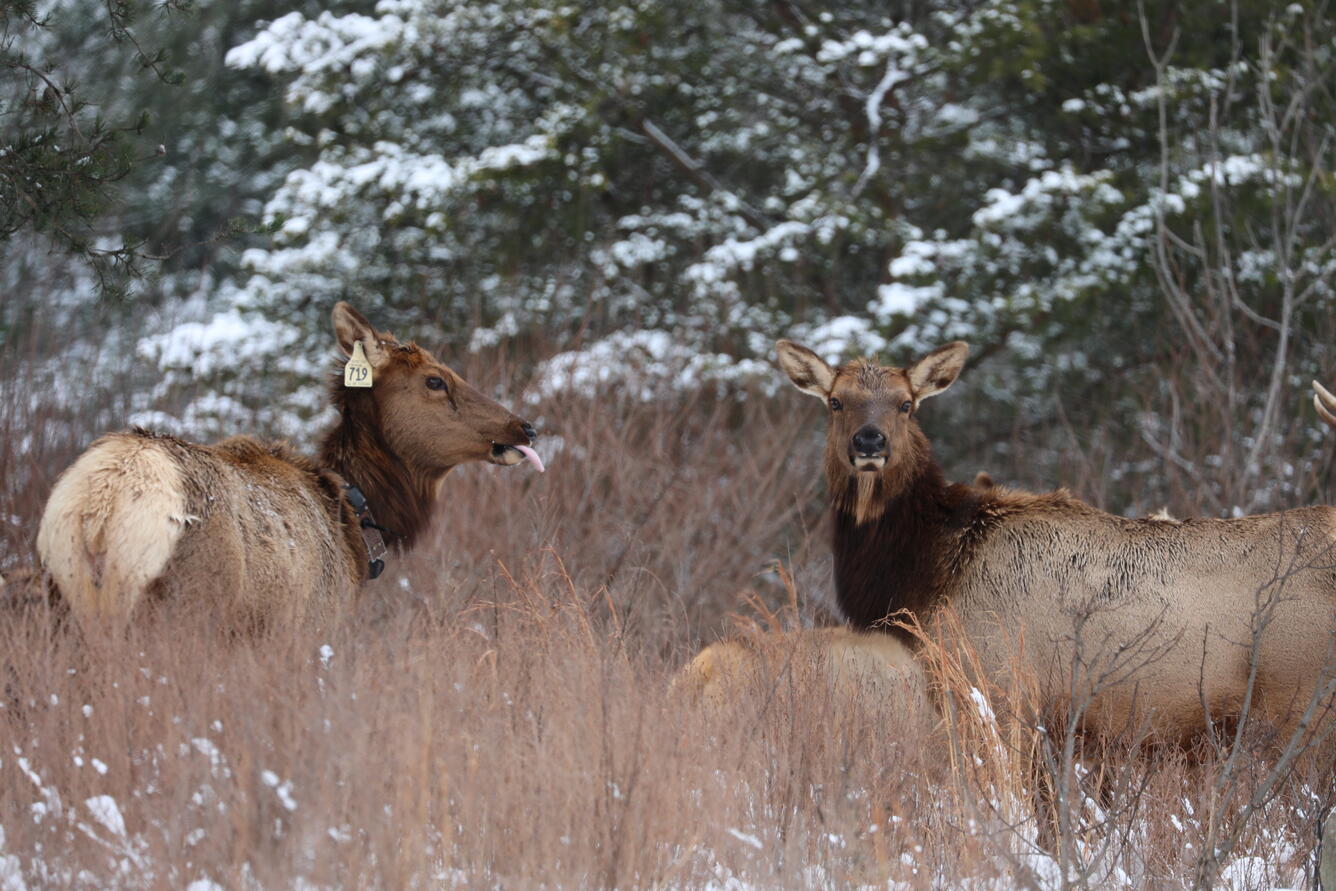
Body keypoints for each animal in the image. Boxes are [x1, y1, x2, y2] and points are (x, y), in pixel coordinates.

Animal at [36, 302, 543, 632]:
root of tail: (102, 506)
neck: (355, 517)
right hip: (186, 605)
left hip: (67, 601)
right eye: (435, 381)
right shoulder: (308, 628)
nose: (525, 427)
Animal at [775, 338, 1336, 763]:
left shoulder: (1003, 690)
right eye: (836, 401)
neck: (928, 578)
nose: (870, 442)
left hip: (1302, 707)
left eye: (905, 402)